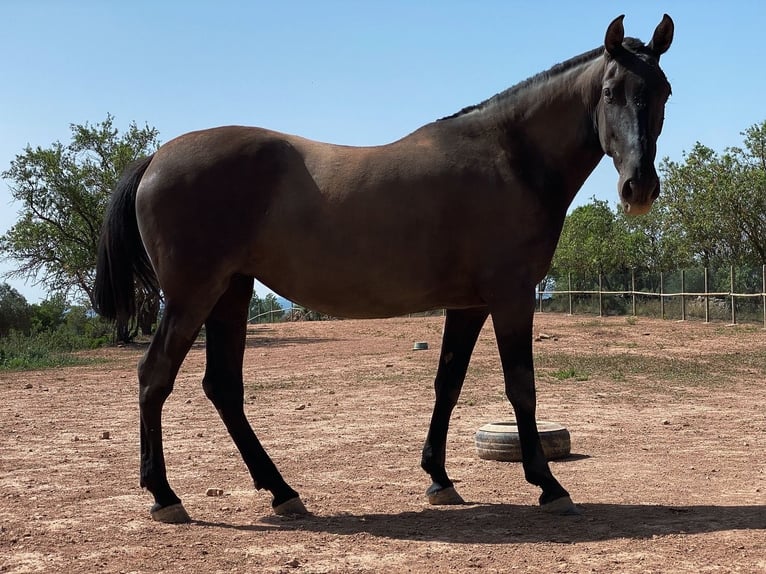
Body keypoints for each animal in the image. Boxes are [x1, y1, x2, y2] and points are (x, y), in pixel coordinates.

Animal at [93, 14, 676, 528]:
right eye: (610, 92)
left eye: (664, 91)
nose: (639, 187)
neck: (509, 158)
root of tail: (156, 158)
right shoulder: (511, 297)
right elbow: (521, 387)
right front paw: (549, 485)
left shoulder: (469, 304)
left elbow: (448, 383)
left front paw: (439, 479)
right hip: (193, 295)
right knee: (154, 377)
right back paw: (165, 496)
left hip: (230, 293)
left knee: (223, 388)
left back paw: (283, 492)